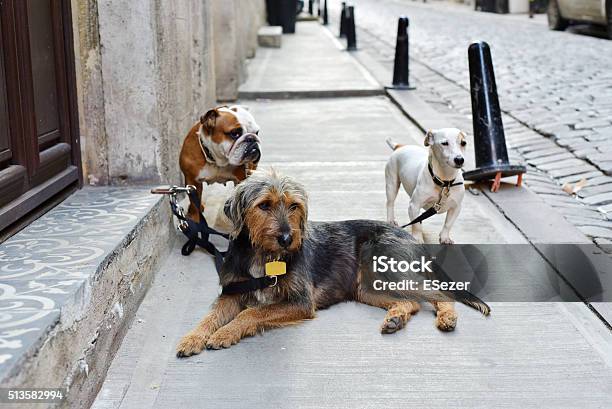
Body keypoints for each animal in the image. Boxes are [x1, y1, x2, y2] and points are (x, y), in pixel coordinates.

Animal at [176, 167, 488, 356]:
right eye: (263, 205)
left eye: (294, 205)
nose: (288, 239)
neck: (264, 255)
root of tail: (408, 235)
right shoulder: (231, 292)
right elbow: (210, 317)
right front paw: (193, 338)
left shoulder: (300, 302)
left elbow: (250, 313)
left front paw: (226, 333)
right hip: (367, 287)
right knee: (410, 303)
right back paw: (395, 319)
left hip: (388, 269)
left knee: (439, 294)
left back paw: (447, 318)